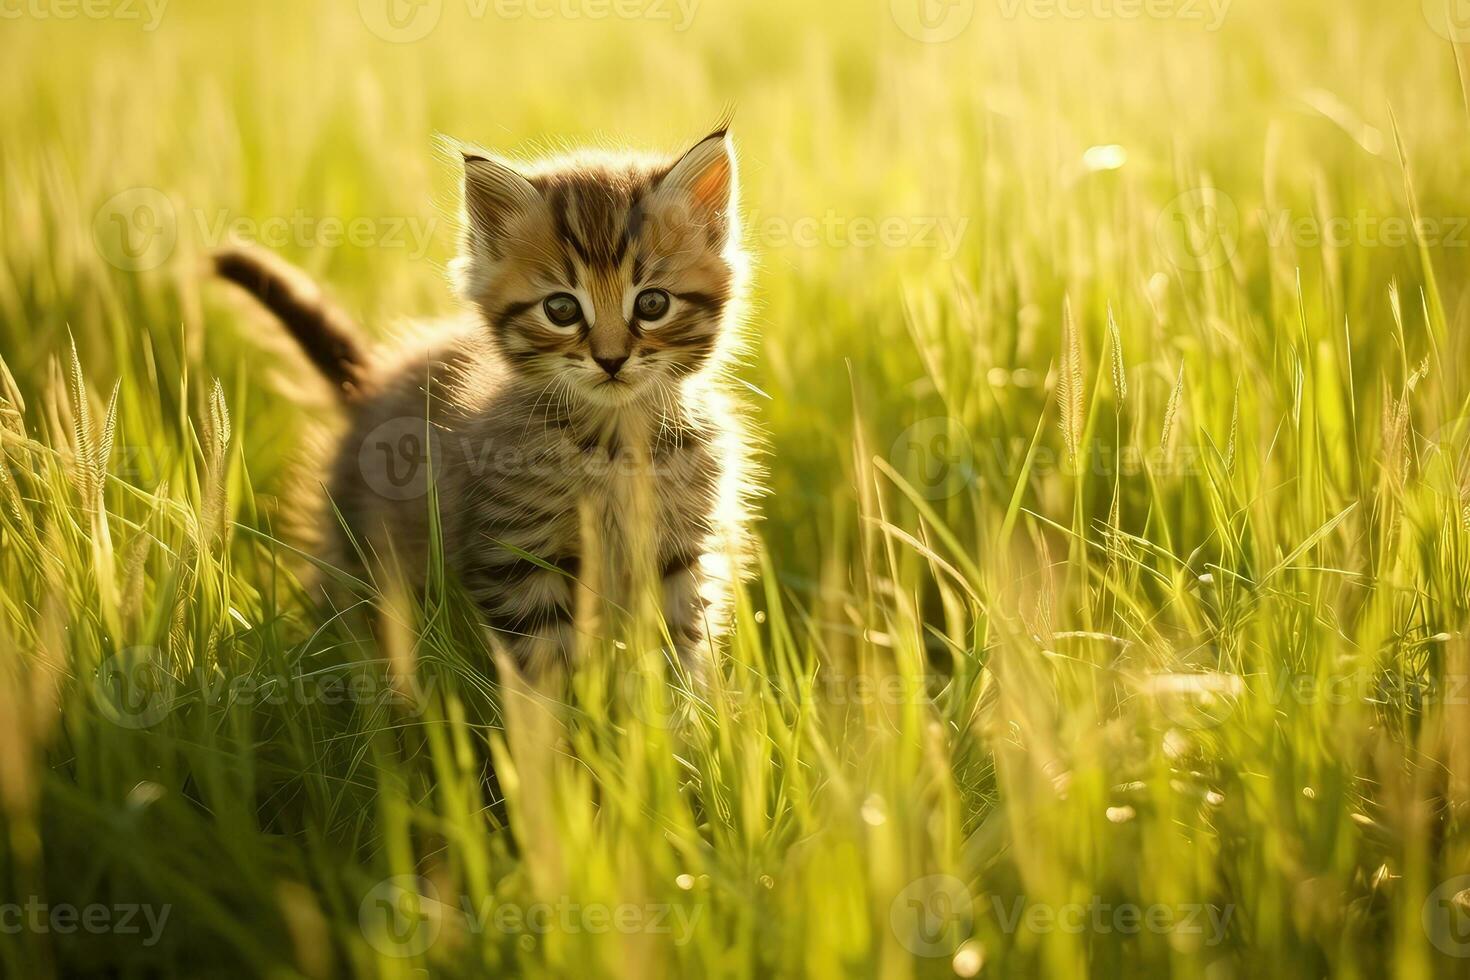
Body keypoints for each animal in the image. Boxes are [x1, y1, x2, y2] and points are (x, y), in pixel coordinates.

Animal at [217, 128, 758, 675]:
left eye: (652, 303)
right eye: (561, 309)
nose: (611, 360)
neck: (616, 439)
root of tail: (369, 389)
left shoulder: (681, 551)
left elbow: (679, 650)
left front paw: (682, 701)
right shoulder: (514, 554)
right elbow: (544, 665)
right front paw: (562, 703)